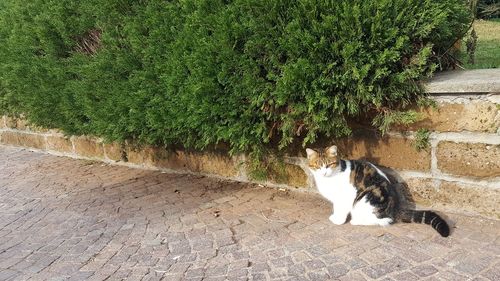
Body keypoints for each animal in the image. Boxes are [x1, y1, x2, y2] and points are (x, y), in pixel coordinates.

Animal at [306, 144, 452, 236]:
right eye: (318, 166)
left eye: (329, 164)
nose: (324, 172)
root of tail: (395, 207)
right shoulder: (336, 199)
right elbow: (336, 208)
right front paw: (335, 217)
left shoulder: (345, 197)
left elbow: (341, 210)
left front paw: (338, 221)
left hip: (367, 197)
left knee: (383, 220)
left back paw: (356, 221)